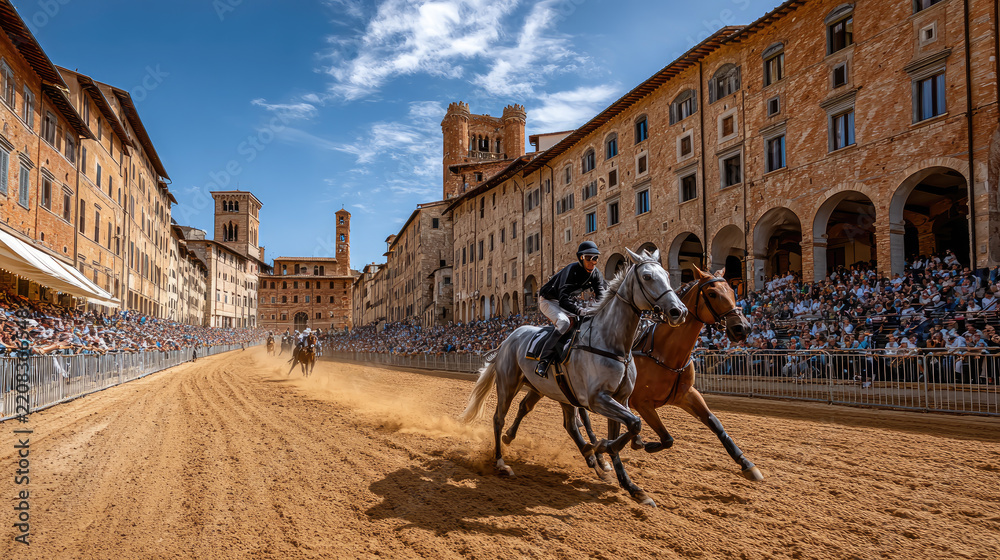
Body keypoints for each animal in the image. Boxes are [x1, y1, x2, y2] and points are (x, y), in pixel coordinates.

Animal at [459, 249, 687, 507]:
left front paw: (632, 486)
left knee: (556, 419)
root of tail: (508, 339)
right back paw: (501, 462)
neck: (612, 343)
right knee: (499, 418)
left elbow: (627, 430)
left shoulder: (620, 398)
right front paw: (601, 449)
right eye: (647, 277)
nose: (679, 311)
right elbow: (632, 425)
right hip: (508, 383)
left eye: (667, 275)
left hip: (554, 390)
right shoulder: (597, 399)